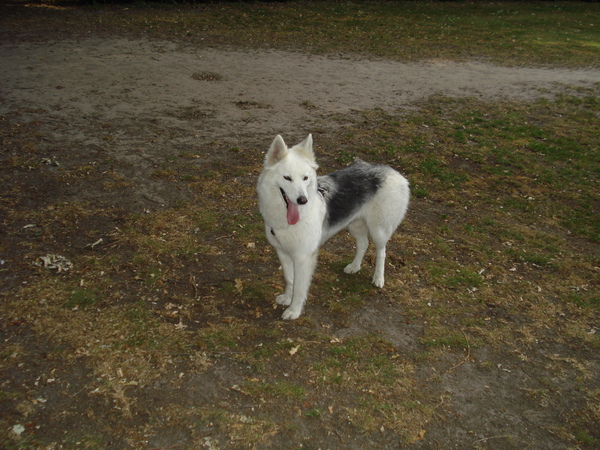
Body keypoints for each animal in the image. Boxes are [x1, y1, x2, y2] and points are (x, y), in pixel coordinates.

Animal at [255, 134, 410, 320]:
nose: (302, 200)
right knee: (363, 244)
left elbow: (299, 288)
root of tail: (394, 172)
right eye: (287, 178)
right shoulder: (283, 252)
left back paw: (378, 278)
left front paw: (294, 310)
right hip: (354, 224)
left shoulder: (303, 258)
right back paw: (354, 267)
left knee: (381, 252)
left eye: (305, 178)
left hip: (378, 230)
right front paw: (287, 297)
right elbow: (289, 279)